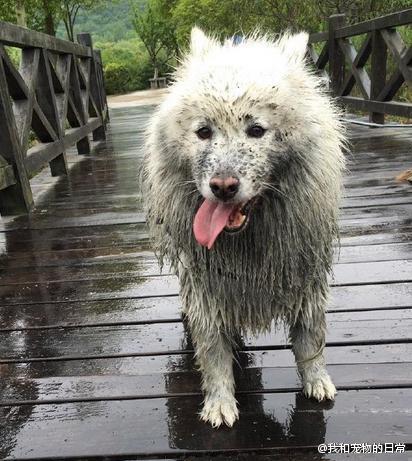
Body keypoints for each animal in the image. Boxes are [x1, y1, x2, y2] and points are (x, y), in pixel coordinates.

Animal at [142, 27, 344, 426]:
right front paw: (220, 402)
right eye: (203, 131)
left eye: (256, 130)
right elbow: (213, 352)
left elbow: (310, 338)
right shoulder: (206, 287)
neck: (248, 240)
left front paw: (317, 380)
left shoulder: (307, 273)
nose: (222, 186)